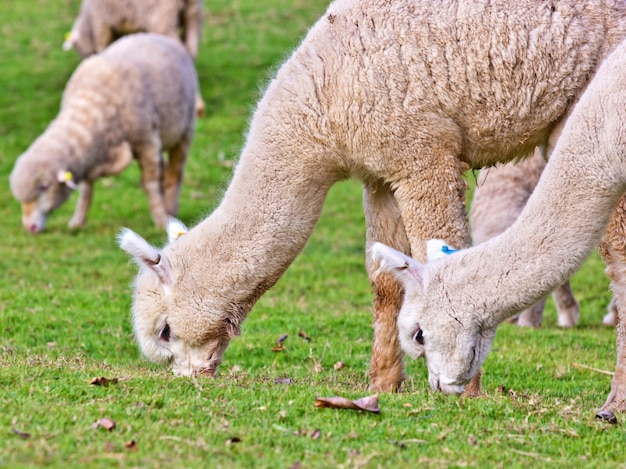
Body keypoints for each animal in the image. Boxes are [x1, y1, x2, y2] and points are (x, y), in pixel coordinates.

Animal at [11, 33, 197, 232]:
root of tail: (153, 35)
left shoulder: (145, 141)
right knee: (162, 167)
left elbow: (149, 184)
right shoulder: (89, 157)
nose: (30, 227)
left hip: (184, 130)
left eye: (44, 187)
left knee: (175, 173)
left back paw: (170, 209)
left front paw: (161, 221)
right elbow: (86, 190)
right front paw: (77, 221)